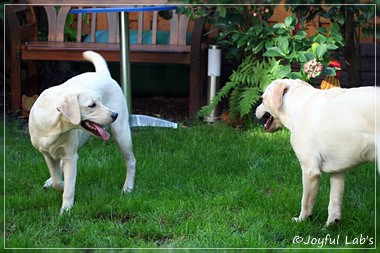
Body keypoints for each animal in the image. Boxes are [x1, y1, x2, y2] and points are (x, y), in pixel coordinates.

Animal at [29, 50, 137, 214]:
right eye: (92, 105)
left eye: (99, 102)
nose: (115, 114)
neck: (55, 127)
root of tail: (103, 74)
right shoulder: (47, 154)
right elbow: (57, 179)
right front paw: (58, 184)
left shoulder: (71, 156)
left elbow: (68, 187)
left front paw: (66, 210)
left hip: (121, 133)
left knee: (131, 161)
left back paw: (128, 188)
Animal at [255, 78, 378, 225]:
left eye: (262, 99)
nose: (255, 110)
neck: (297, 103)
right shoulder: (337, 173)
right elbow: (334, 204)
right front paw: (330, 226)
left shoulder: (310, 171)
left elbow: (306, 202)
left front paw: (302, 220)